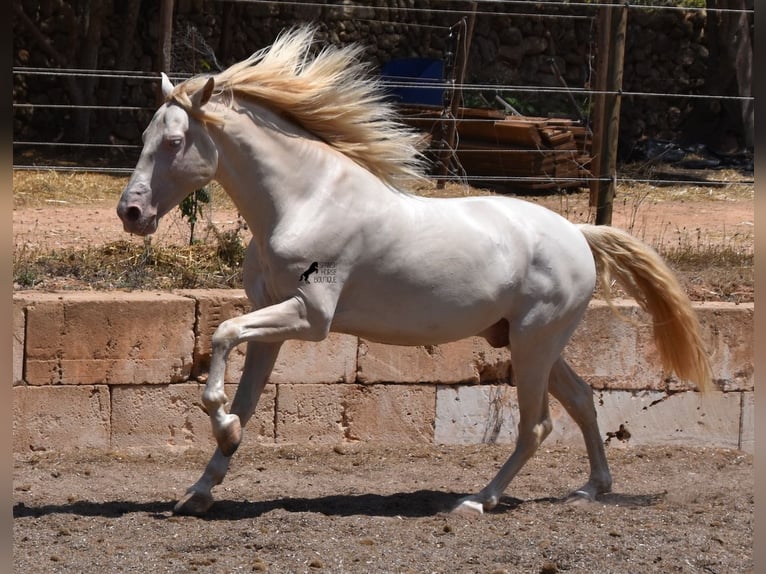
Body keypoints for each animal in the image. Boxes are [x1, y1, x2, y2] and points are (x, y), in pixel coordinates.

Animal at [115, 27, 712, 520]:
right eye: (144, 137)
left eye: (173, 142)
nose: (131, 213)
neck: (305, 200)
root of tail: (579, 235)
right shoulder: (273, 325)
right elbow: (245, 392)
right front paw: (201, 488)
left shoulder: (310, 317)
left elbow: (220, 335)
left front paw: (223, 429)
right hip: (527, 340)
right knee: (585, 399)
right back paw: (592, 489)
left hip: (533, 343)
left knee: (537, 424)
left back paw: (477, 500)